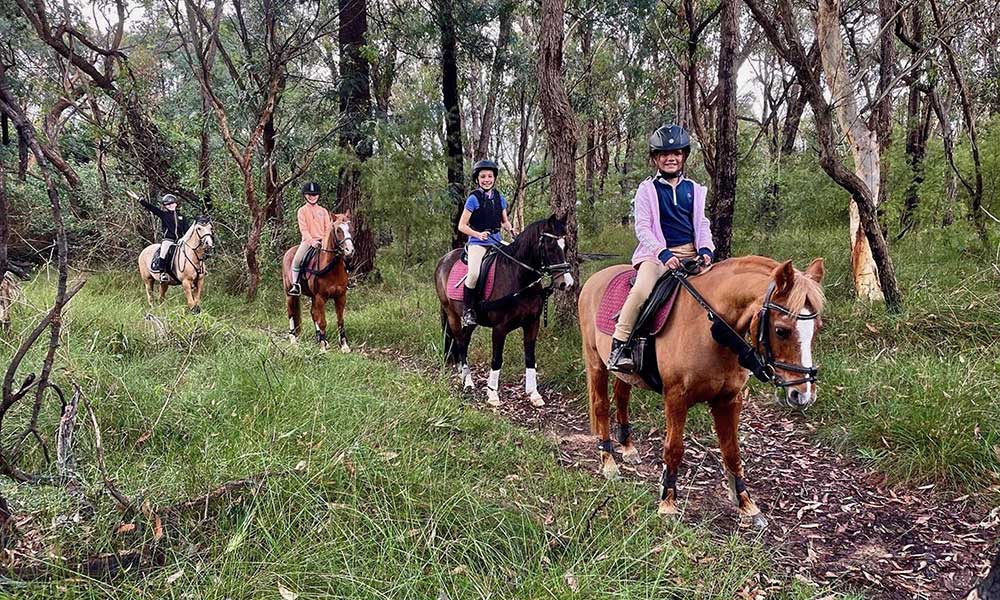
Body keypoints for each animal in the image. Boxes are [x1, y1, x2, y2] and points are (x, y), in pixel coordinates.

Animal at [282, 211, 356, 352]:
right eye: (338, 230)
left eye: (351, 228)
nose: (350, 251)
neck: (331, 268)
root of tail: (288, 252)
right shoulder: (320, 297)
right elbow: (322, 322)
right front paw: (322, 347)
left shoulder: (340, 297)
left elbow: (340, 321)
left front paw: (344, 346)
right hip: (290, 294)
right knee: (291, 313)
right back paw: (294, 340)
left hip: (312, 297)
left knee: (313, 313)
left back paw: (320, 338)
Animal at [434, 216, 576, 408]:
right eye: (550, 246)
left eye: (566, 246)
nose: (566, 283)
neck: (518, 277)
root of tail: (444, 259)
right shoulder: (499, 328)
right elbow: (497, 359)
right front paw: (492, 394)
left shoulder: (532, 323)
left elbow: (530, 358)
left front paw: (534, 394)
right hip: (452, 314)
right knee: (460, 341)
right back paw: (468, 381)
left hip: (472, 320)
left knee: (464, 338)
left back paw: (464, 376)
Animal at [576, 255, 824, 528]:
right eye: (781, 330)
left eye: (818, 328)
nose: (802, 394)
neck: (710, 329)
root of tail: (595, 278)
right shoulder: (676, 397)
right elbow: (674, 449)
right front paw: (667, 504)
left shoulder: (728, 400)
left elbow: (732, 452)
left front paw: (746, 505)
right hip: (596, 362)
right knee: (601, 407)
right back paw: (609, 464)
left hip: (626, 374)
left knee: (621, 397)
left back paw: (628, 449)